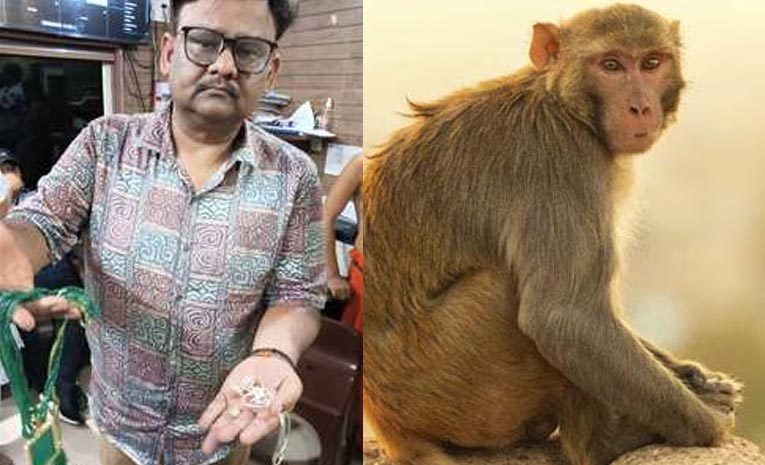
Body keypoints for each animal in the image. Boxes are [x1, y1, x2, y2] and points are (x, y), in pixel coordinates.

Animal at [363, 4, 743, 465]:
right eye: (611, 65)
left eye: (652, 63)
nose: (639, 106)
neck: (566, 107)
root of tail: (389, 425)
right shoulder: (561, 164)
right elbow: (565, 317)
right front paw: (709, 425)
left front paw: (693, 377)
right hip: (452, 386)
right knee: (509, 294)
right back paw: (602, 441)